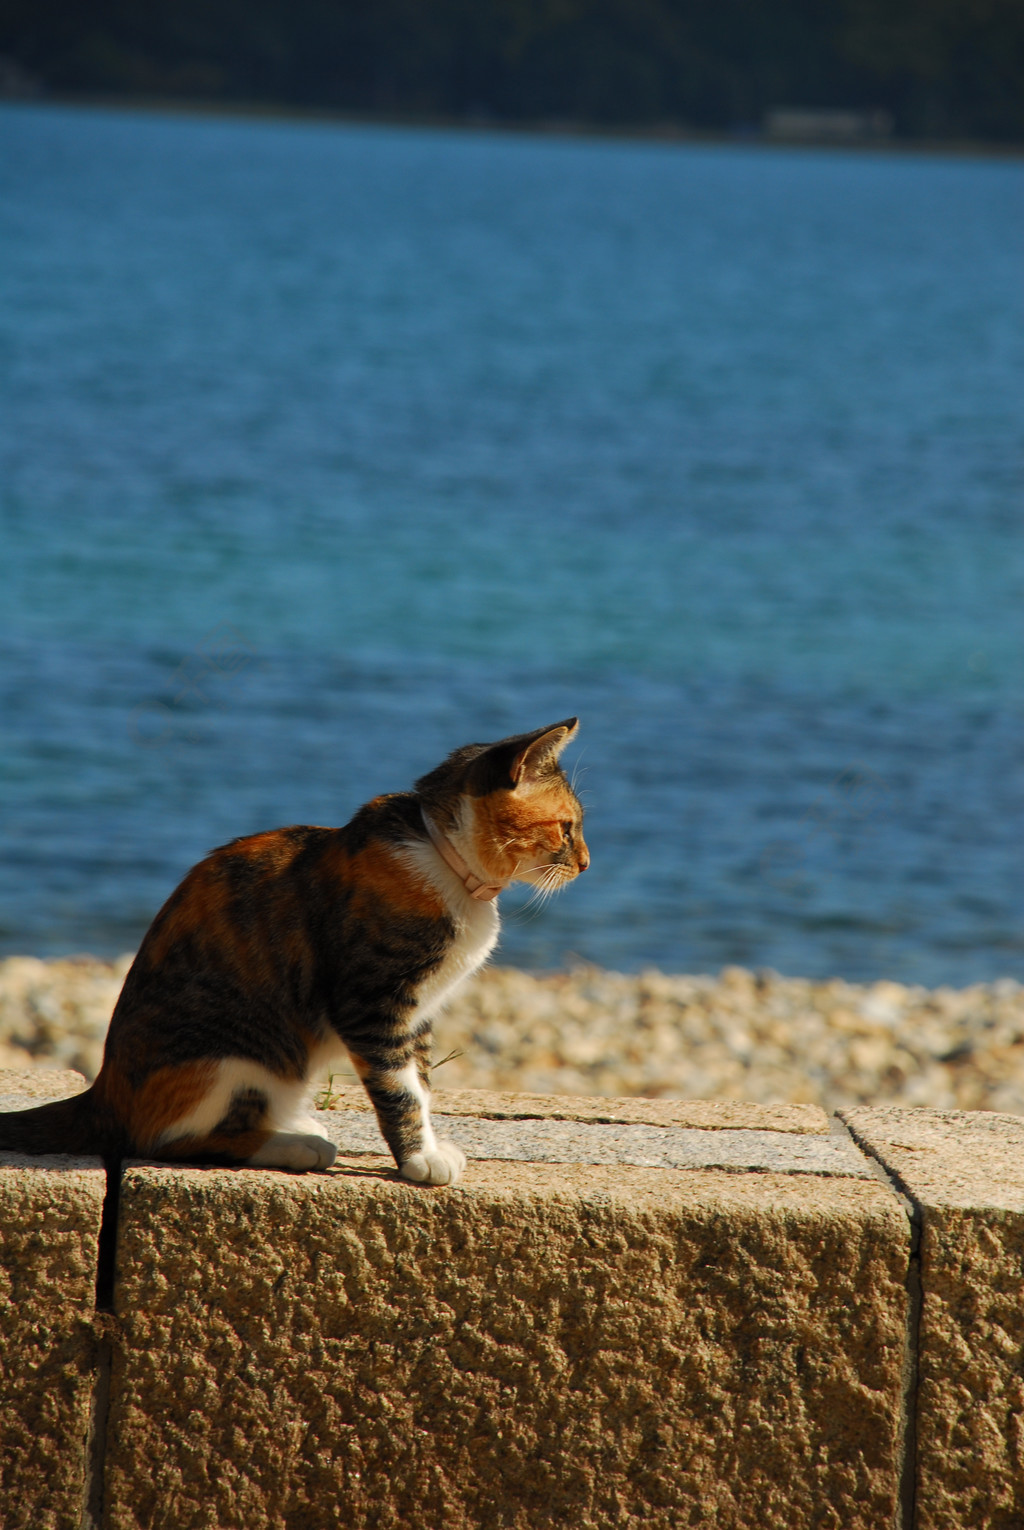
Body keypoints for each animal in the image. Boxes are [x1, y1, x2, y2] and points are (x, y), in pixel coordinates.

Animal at [0, 716, 587, 1181]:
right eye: (567, 827)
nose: (585, 863)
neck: (447, 863)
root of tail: (102, 1096)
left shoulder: (418, 1011)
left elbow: (419, 1080)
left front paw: (429, 1143)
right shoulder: (371, 1001)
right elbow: (399, 1087)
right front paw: (421, 1161)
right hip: (233, 1057)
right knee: (173, 1139)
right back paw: (297, 1145)